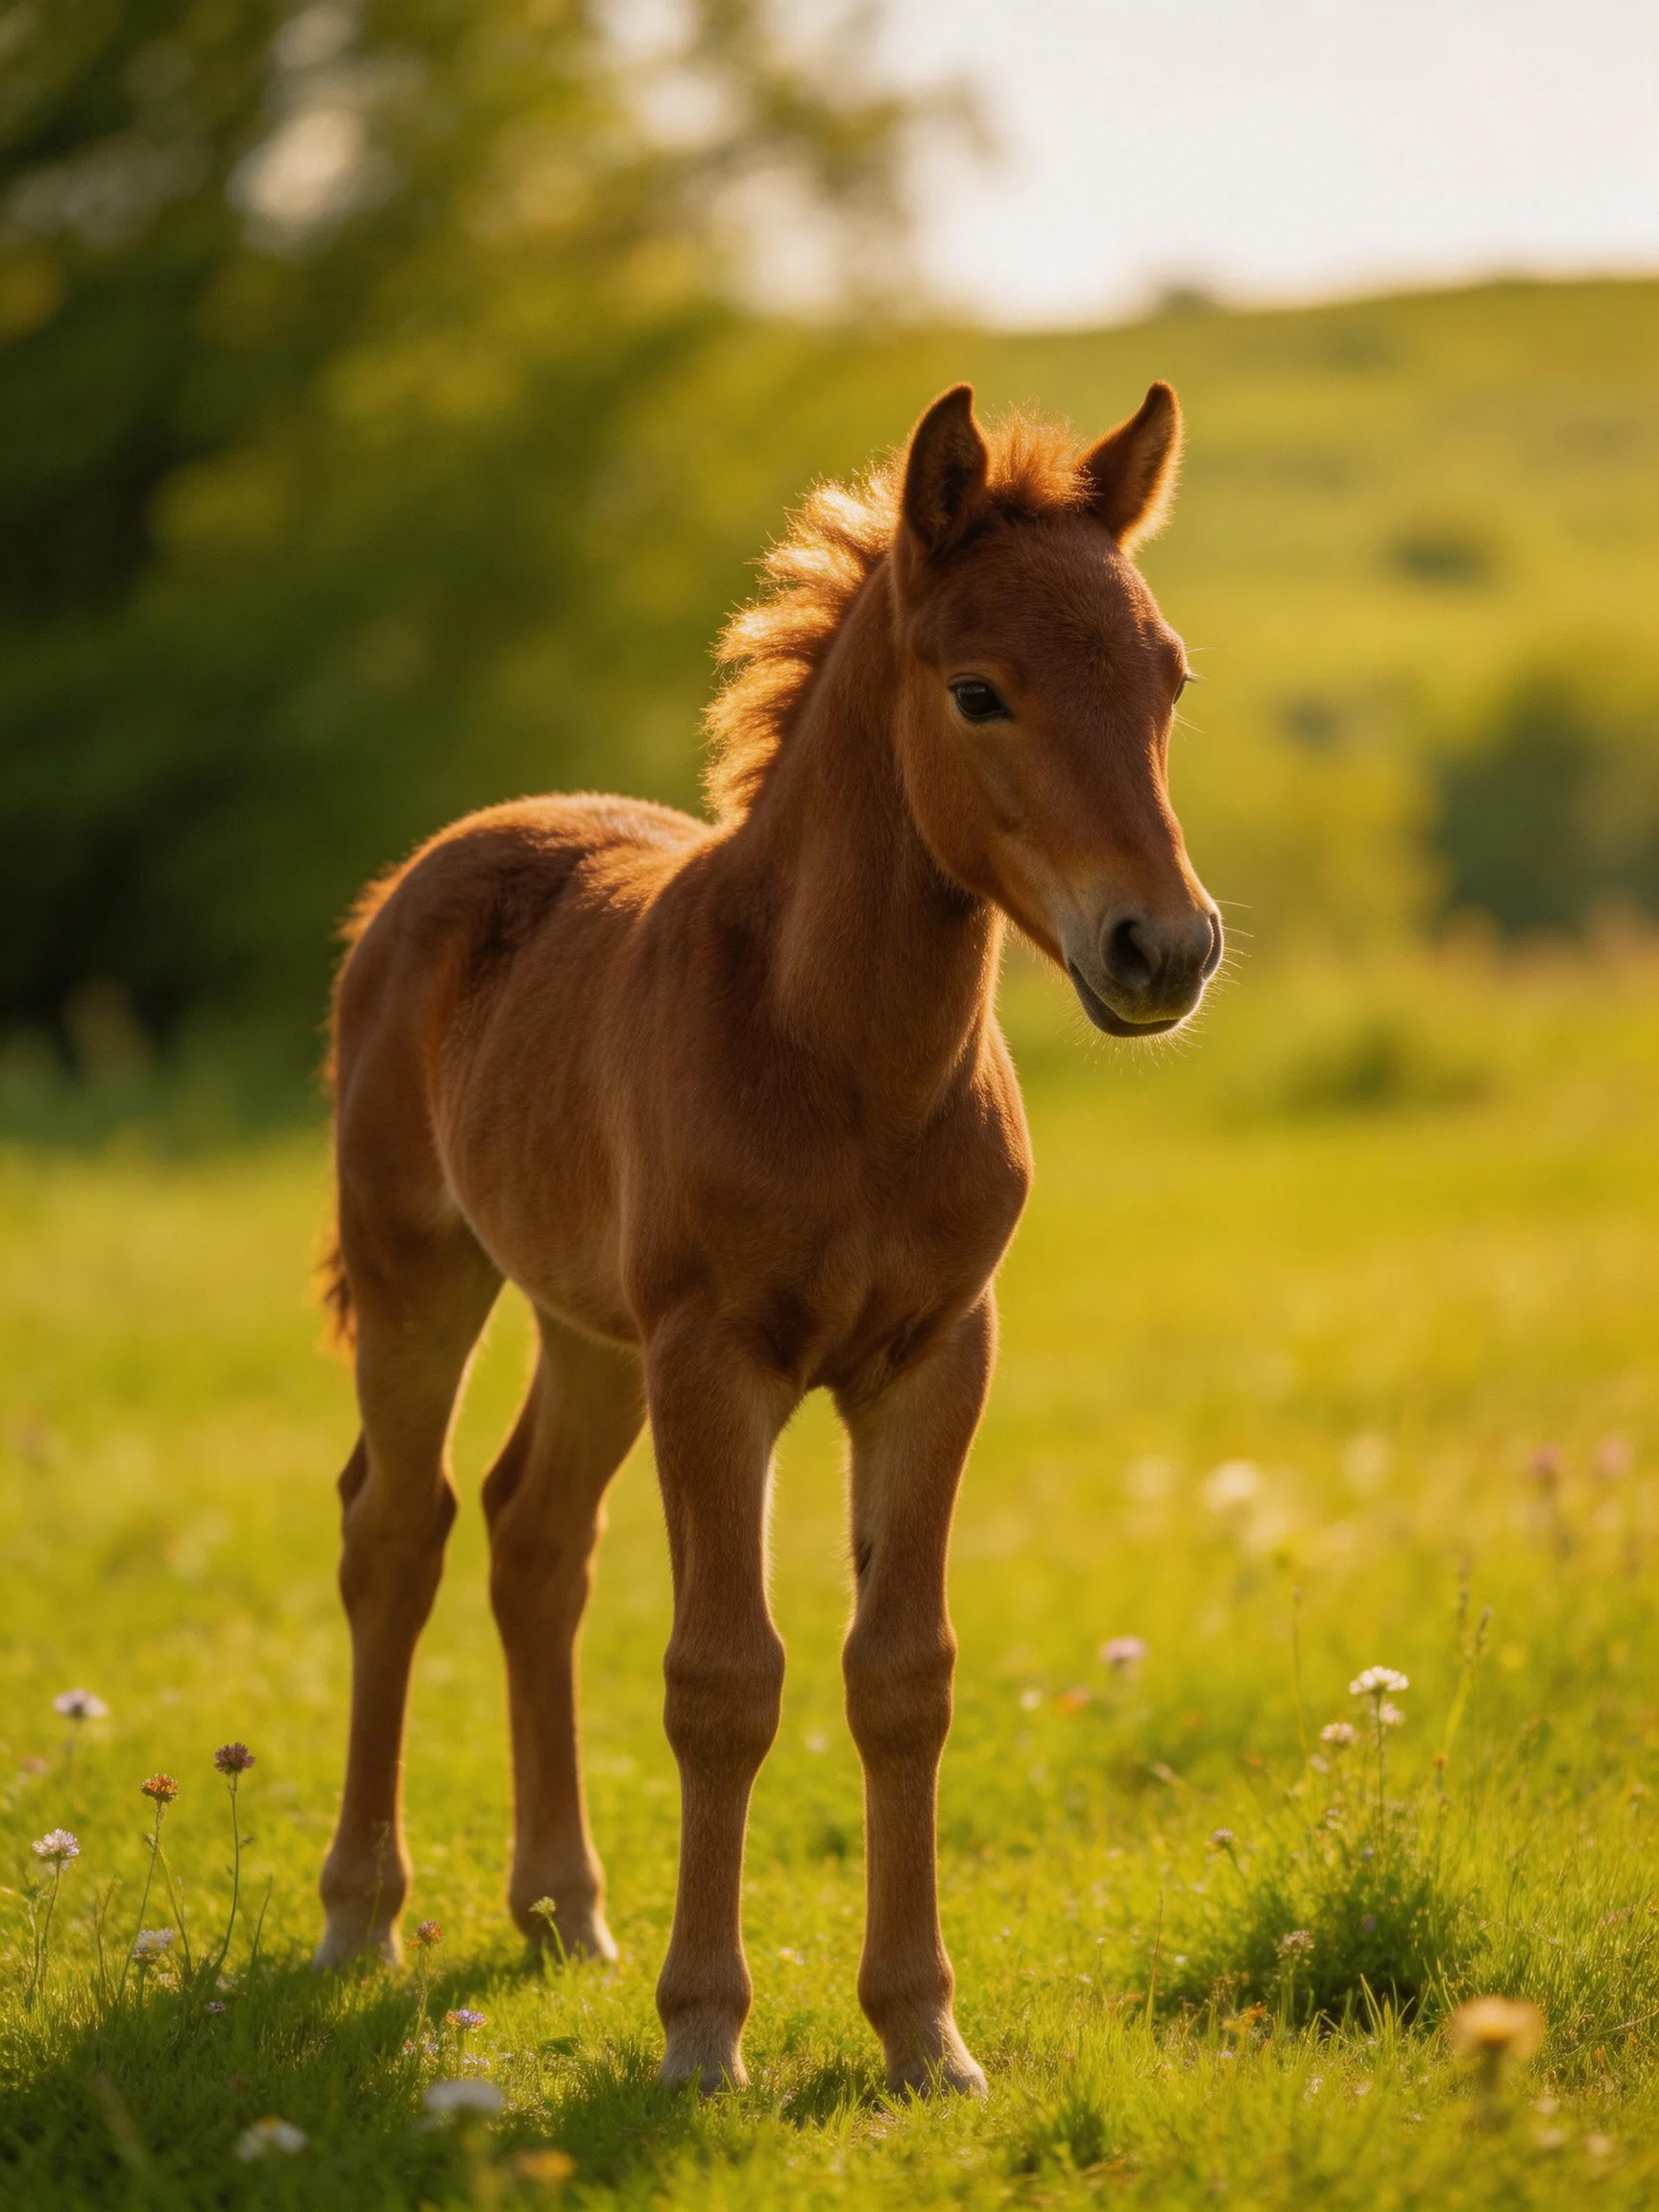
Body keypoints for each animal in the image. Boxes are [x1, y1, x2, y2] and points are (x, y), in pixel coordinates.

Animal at [314, 379, 1221, 2096]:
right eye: (980, 691)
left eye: (1167, 676)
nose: (1164, 947)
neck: (843, 1058)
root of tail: (434, 867)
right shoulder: (717, 1360)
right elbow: (724, 1681)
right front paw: (701, 2035)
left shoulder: (935, 1356)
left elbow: (903, 1674)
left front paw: (924, 2034)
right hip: (426, 1272)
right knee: (397, 1530)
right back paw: (360, 1918)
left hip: (590, 1329)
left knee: (536, 1535)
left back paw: (564, 1908)